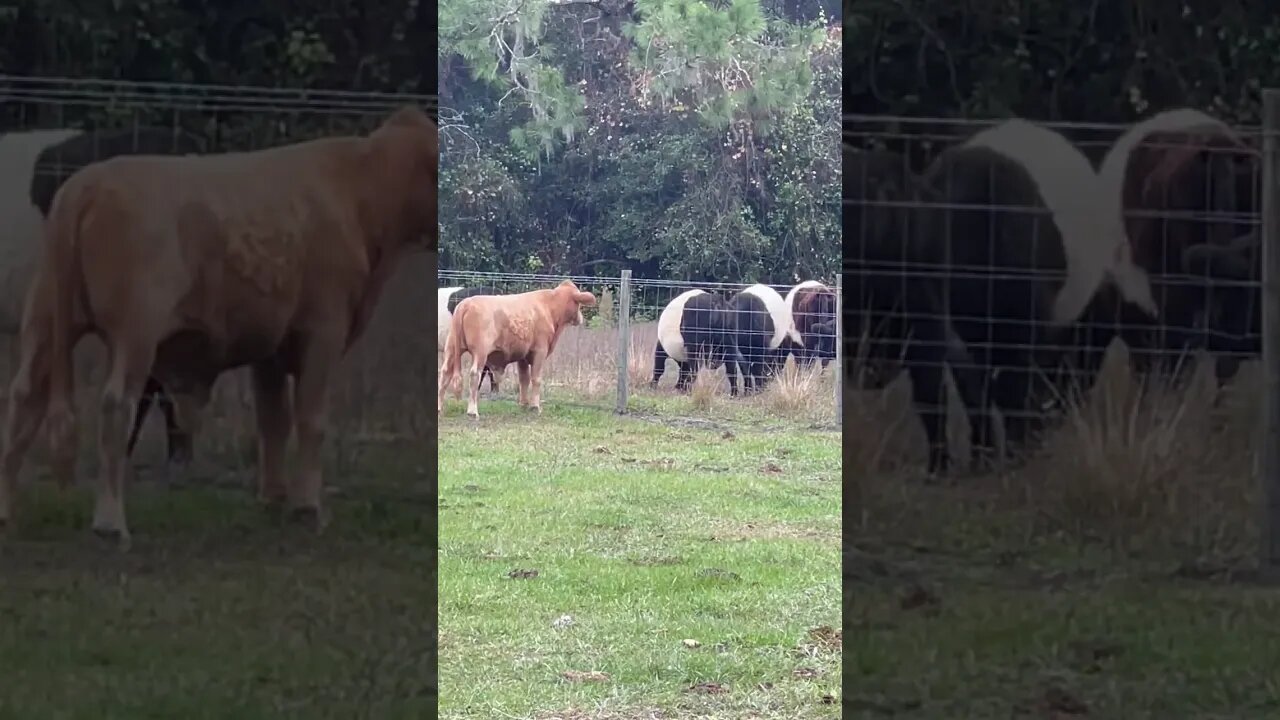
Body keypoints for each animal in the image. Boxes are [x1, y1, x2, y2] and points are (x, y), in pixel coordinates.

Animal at [437, 279, 596, 417]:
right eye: (578, 303)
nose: (581, 318)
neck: (548, 307)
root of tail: (466, 303)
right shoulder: (540, 351)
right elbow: (536, 379)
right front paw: (535, 406)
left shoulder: (523, 356)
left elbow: (524, 379)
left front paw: (524, 404)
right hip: (480, 352)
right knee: (475, 374)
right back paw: (472, 411)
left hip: (451, 348)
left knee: (445, 374)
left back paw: (439, 408)